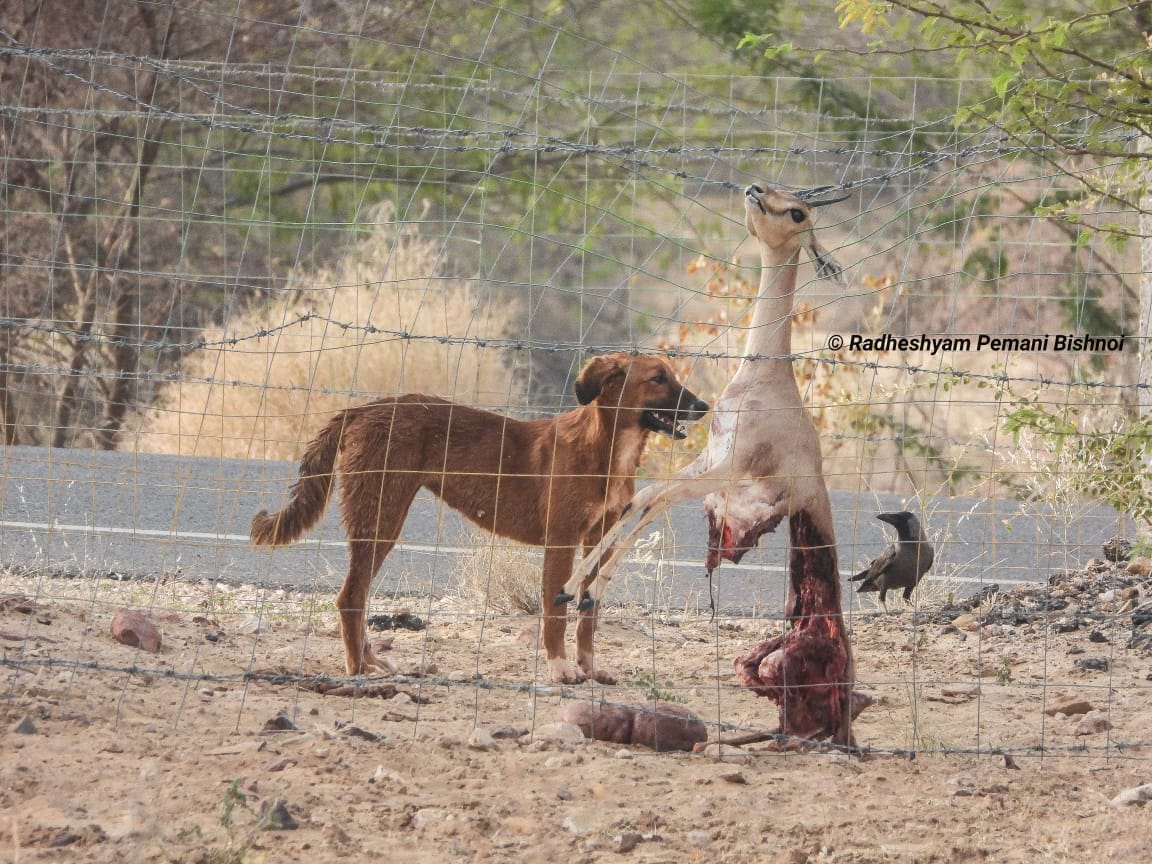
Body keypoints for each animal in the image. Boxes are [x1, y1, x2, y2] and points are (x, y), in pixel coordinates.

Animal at [247, 354, 705, 686]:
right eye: (658, 379)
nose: (703, 406)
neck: (606, 449)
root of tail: (362, 409)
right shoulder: (561, 541)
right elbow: (555, 615)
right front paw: (560, 669)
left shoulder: (601, 539)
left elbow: (588, 617)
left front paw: (590, 668)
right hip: (380, 519)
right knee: (349, 597)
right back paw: (358, 668)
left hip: (382, 519)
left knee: (354, 597)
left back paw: (371, 660)